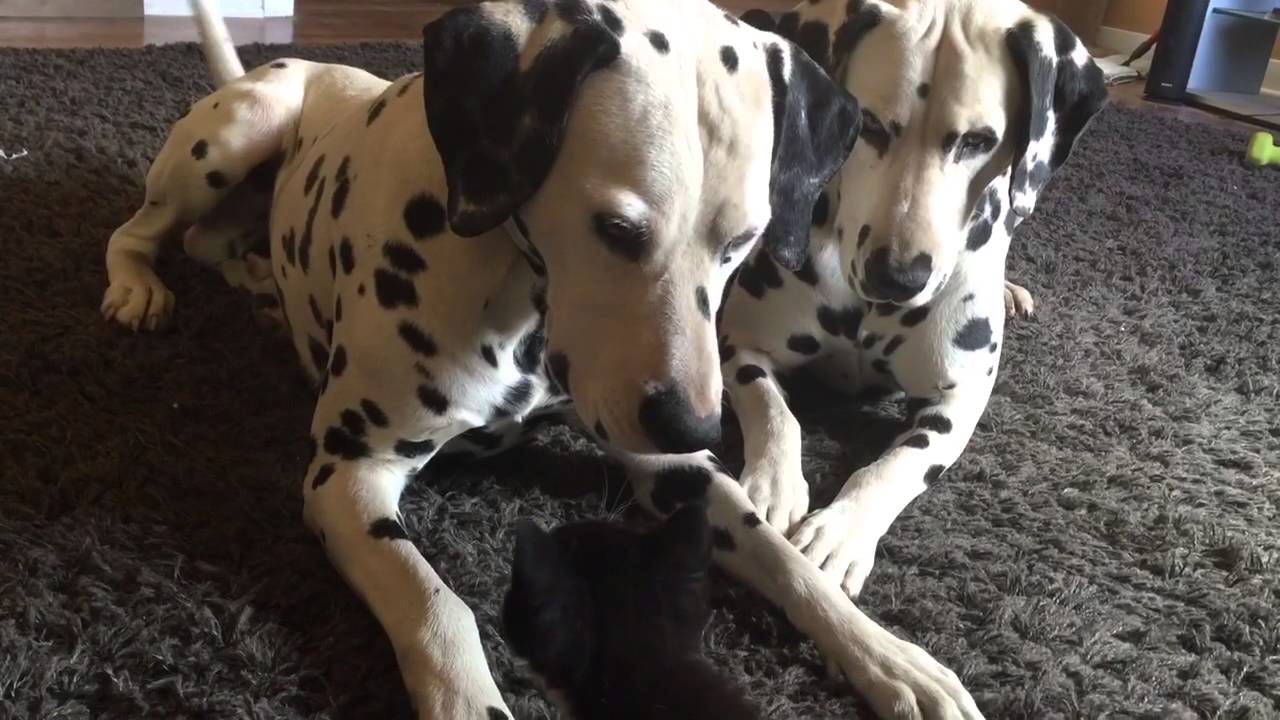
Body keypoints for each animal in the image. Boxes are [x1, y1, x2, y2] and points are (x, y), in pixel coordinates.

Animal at [684, 0, 1107, 598]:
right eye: (870, 125)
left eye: (978, 141)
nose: (898, 277)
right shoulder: (740, 346)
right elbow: (773, 409)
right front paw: (773, 484)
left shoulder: (957, 400)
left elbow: (899, 464)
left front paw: (841, 530)